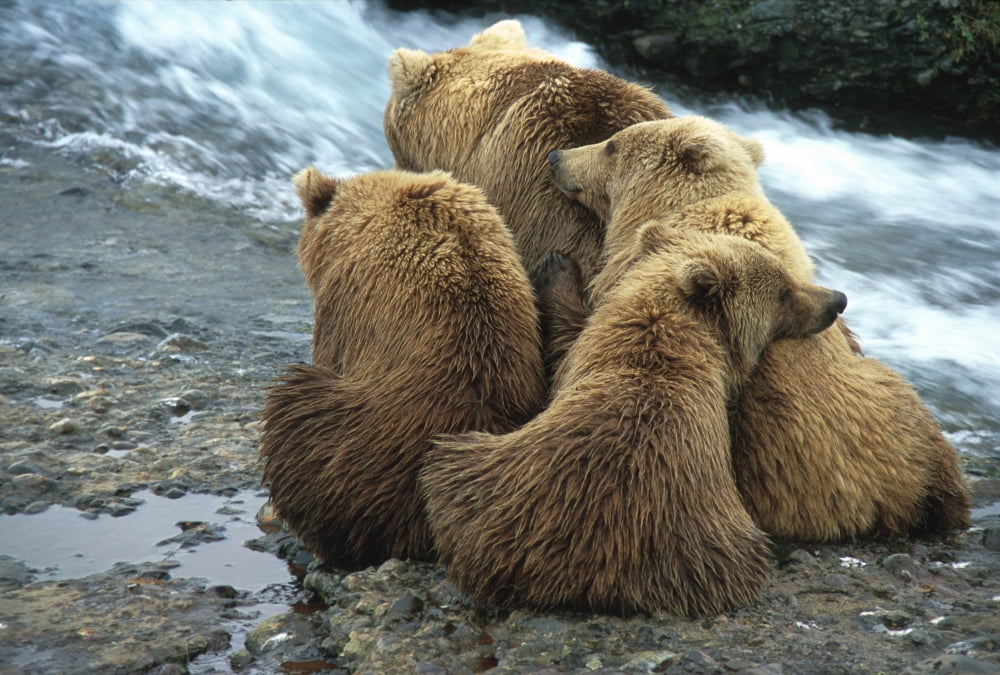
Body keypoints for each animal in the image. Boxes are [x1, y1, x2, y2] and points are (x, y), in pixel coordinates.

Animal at [420, 226, 849, 617]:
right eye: (785, 290)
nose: (837, 299)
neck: (668, 320)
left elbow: (565, 339)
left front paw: (558, 268)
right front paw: (558, 264)